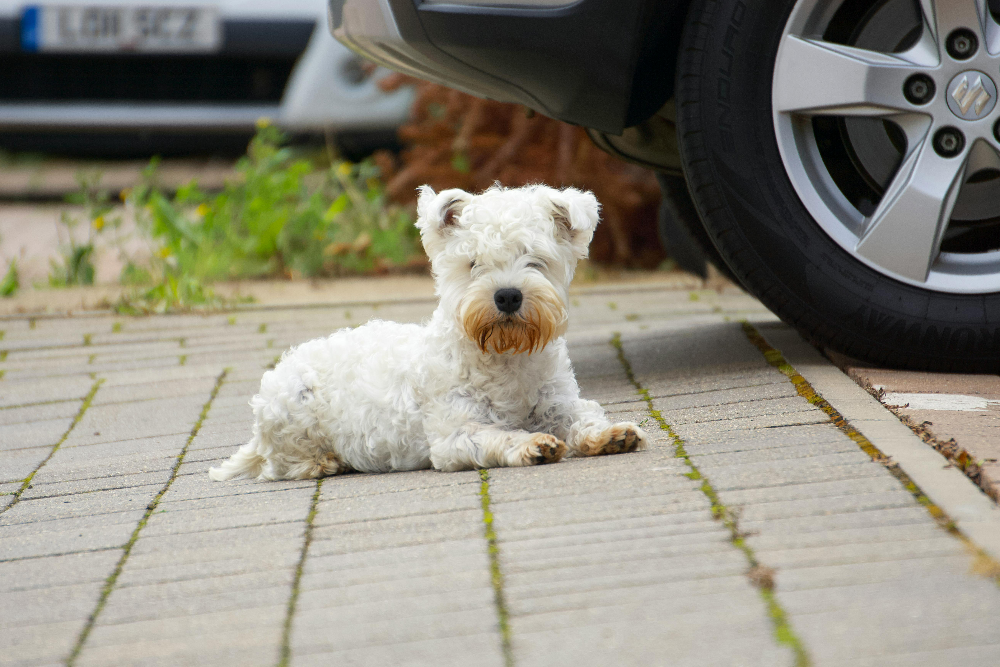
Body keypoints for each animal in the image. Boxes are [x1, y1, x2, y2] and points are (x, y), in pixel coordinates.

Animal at [211, 185, 648, 482]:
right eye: (472, 264)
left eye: (535, 260)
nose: (507, 295)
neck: (505, 358)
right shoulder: (454, 434)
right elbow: (497, 437)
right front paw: (531, 443)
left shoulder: (560, 404)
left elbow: (583, 419)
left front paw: (612, 435)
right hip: (292, 406)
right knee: (280, 464)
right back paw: (324, 462)